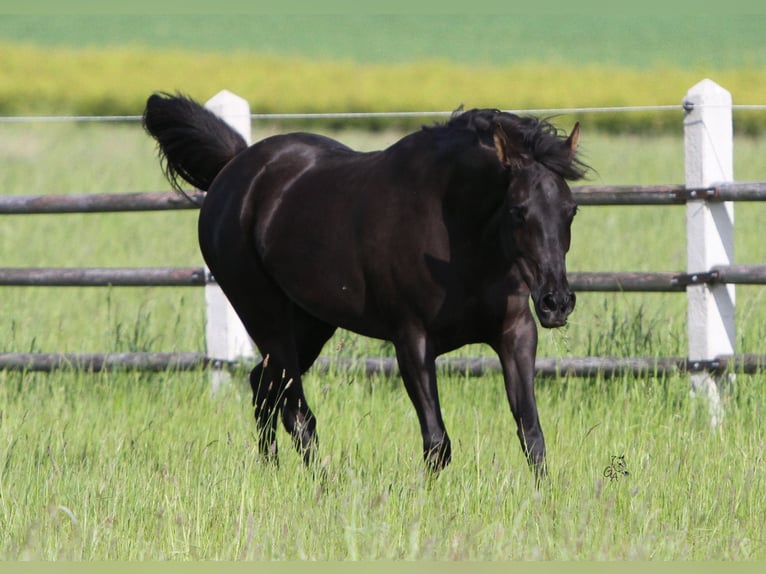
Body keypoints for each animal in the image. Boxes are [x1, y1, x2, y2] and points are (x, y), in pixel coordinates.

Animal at [143, 93, 587, 478]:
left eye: (571, 209)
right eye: (518, 211)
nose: (556, 302)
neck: (459, 239)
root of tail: (235, 167)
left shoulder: (516, 332)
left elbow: (531, 434)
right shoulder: (412, 340)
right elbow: (437, 442)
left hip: (312, 322)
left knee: (263, 387)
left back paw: (271, 471)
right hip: (263, 314)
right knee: (295, 409)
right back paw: (321, 485)